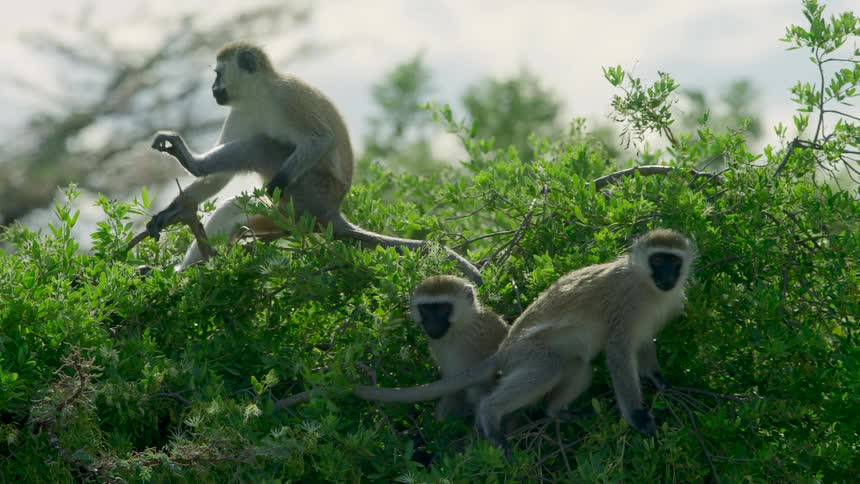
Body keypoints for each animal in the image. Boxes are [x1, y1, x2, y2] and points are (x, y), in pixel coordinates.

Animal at [145, 41, 482, 284]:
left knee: (264, 145)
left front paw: (277, 182)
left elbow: (322, 140)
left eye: (218, 74)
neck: (259, 96)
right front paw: (170, 210)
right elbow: (222, 178)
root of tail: (333, 212)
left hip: (310, 195)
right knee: (236, 205)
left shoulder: (287, 98)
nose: (213, 90)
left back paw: (195, 165)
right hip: (290, 215)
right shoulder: (239, 112)